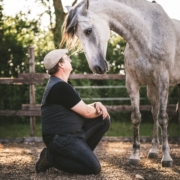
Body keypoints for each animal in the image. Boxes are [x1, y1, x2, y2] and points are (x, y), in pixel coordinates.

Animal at [61, 0, 180, 167]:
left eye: (88, 31)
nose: (97, 68)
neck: (148, 35)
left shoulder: (163, 81)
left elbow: (164, 118)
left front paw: (167, 158)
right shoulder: (132, 83)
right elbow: (136, 117)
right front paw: (135, 156)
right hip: (152, 88)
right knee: (154, 113)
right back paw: (153, 151)